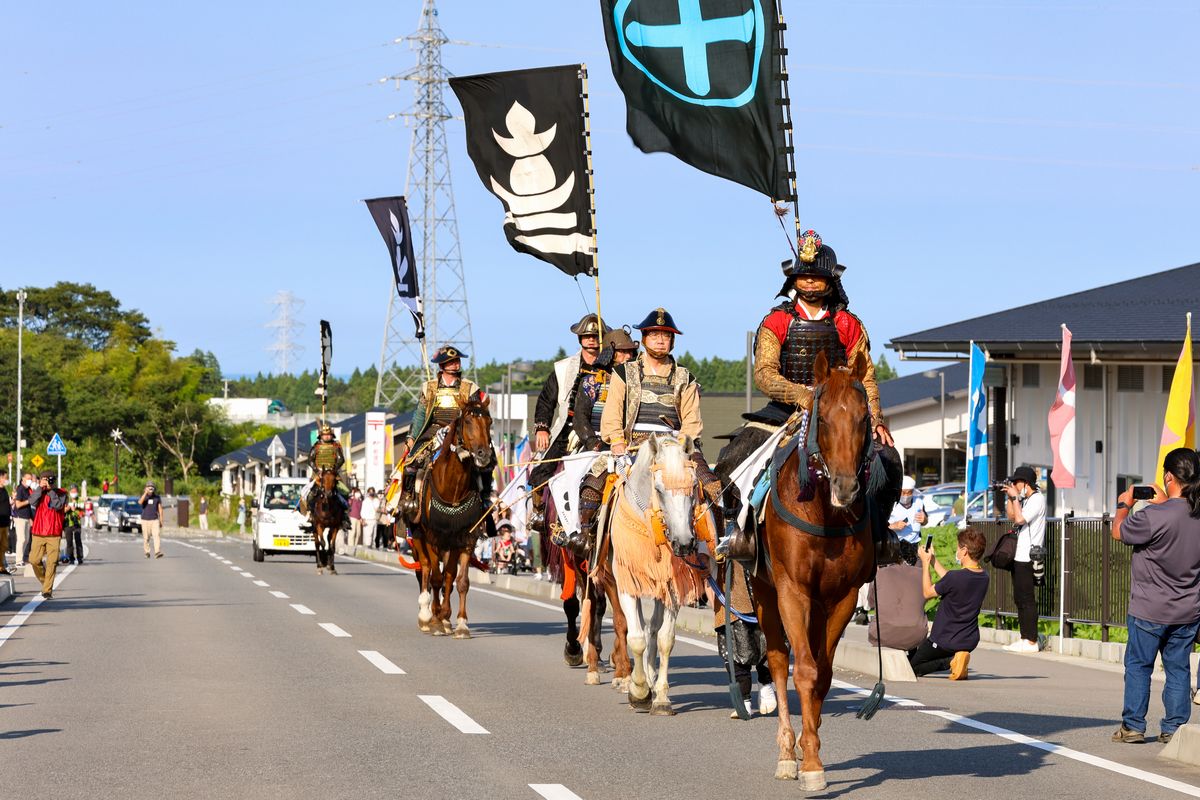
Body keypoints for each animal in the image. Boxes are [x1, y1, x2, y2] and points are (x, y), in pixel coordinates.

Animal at [405, 393, 494, 638]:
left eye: (490, 422)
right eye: (468, 421)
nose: (484, 455)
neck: (453, 487)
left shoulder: (465, 537)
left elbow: (459, 579)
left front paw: (459, 622)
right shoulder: (433, 535)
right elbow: (435, 577)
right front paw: (435, 619)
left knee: (447, 575)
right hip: (418, 534)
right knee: (426, 568)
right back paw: (426, 615)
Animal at [609, 434, 710, 714]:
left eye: (693, 486)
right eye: (659, 489)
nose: (684, 543)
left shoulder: (673, 583)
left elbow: (665, 638)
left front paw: (661, 696)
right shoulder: (627, 581)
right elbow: (635, 637)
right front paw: (639, 691)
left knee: (651, 628)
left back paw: (651, 676)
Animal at [753, 352, 878, 791]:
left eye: (863, 417)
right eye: (822, 418)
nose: (846, 487)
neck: (825, 513)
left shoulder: (843, 596)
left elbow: (822, 674)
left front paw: (814, 749)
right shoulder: (792, 590)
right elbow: (803, 669)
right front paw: (807, 764)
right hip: (764, 593)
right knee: (777, 661)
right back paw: (786, 752)